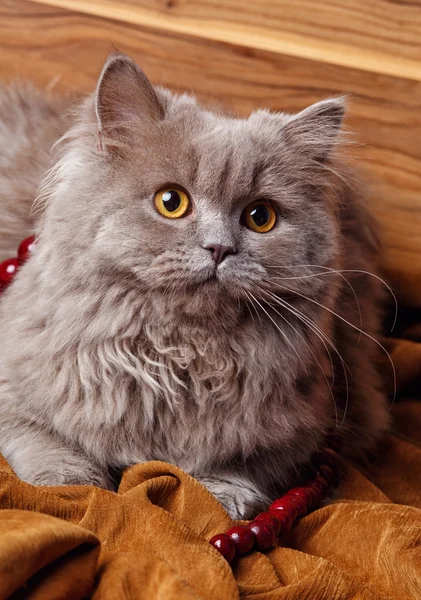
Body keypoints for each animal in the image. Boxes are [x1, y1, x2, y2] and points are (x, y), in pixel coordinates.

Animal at [0, 54, 388, 516]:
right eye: (171, 202)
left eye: (261, 217)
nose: (219, 248)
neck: (178, 356)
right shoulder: (14, 385)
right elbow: (47, 443)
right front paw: (73, 486)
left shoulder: (302, 432)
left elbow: (235, 467)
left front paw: (218, 499)